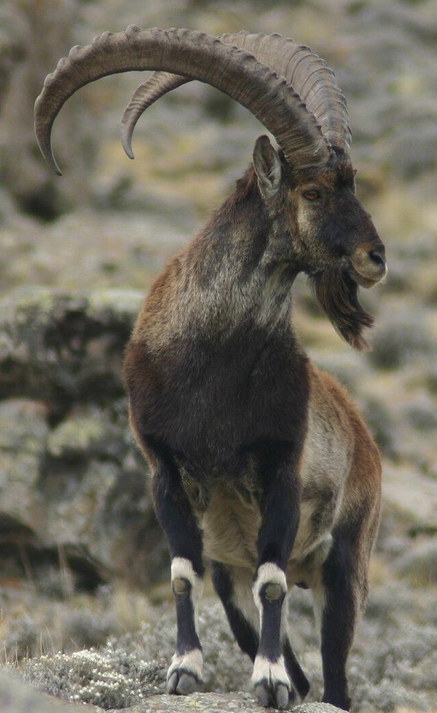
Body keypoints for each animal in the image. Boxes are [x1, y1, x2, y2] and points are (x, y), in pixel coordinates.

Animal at [35, 27, 387, 711]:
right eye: (311, 190)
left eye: (352, 184)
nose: (375, 258)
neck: (212, 360)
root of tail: (367, 440)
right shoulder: (165, 469)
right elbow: (178, 574)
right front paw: (185, 670)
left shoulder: (280, 469)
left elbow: (273, 582)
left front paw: (266, 681)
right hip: (232, 575)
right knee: (293, 659)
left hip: (345, 564)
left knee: (334, 679)